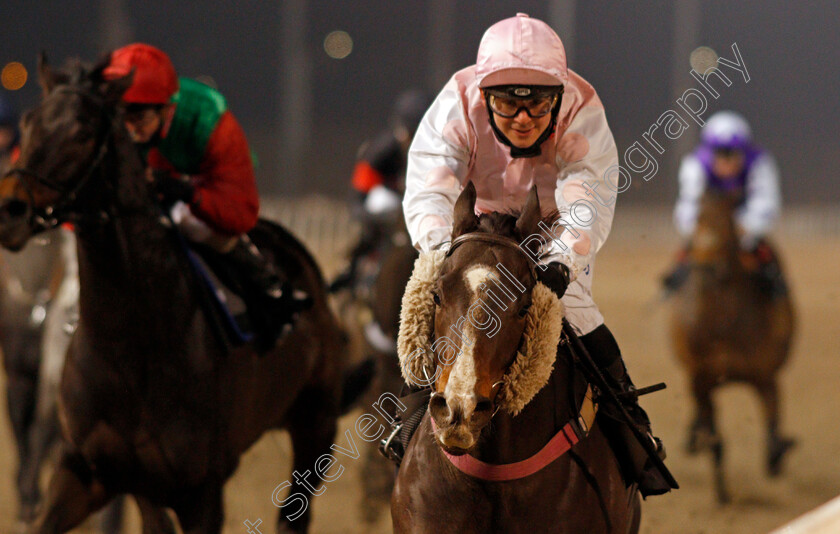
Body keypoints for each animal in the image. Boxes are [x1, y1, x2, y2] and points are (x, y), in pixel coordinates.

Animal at [0, 56, 352, 532]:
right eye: (29, 122)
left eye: (82, 132)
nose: (9, 210)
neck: (132, 348)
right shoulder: (90, 471)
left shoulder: (202, 491)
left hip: (316, 424)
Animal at [668, 194, 796, 506]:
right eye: (698, 218)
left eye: (726, 222)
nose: (707, 267)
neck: (724, 323)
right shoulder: (701, 380)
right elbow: (716, 440)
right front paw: (722, 493)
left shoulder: (765, 378)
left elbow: (772, 437)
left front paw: (780, 452)